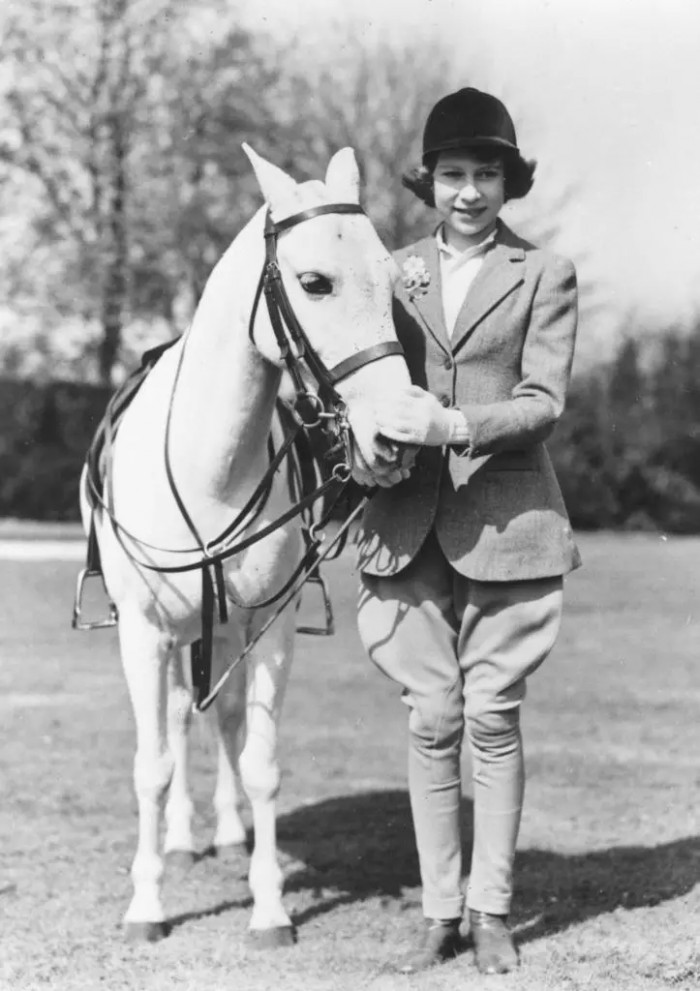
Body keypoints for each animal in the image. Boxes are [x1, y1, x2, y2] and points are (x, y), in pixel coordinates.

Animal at [78, 144, 411, 944]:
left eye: (392, 281)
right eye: (315, 282)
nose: (393, 435)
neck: (209, 469)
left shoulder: (269, 627)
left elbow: (258, 761)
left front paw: (269, 908)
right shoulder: (143, 632)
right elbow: (153, 763)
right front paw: (147, 905)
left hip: (224, 631)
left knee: (223, 722)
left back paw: (227, 832)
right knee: (177, 721)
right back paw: (182, 837)